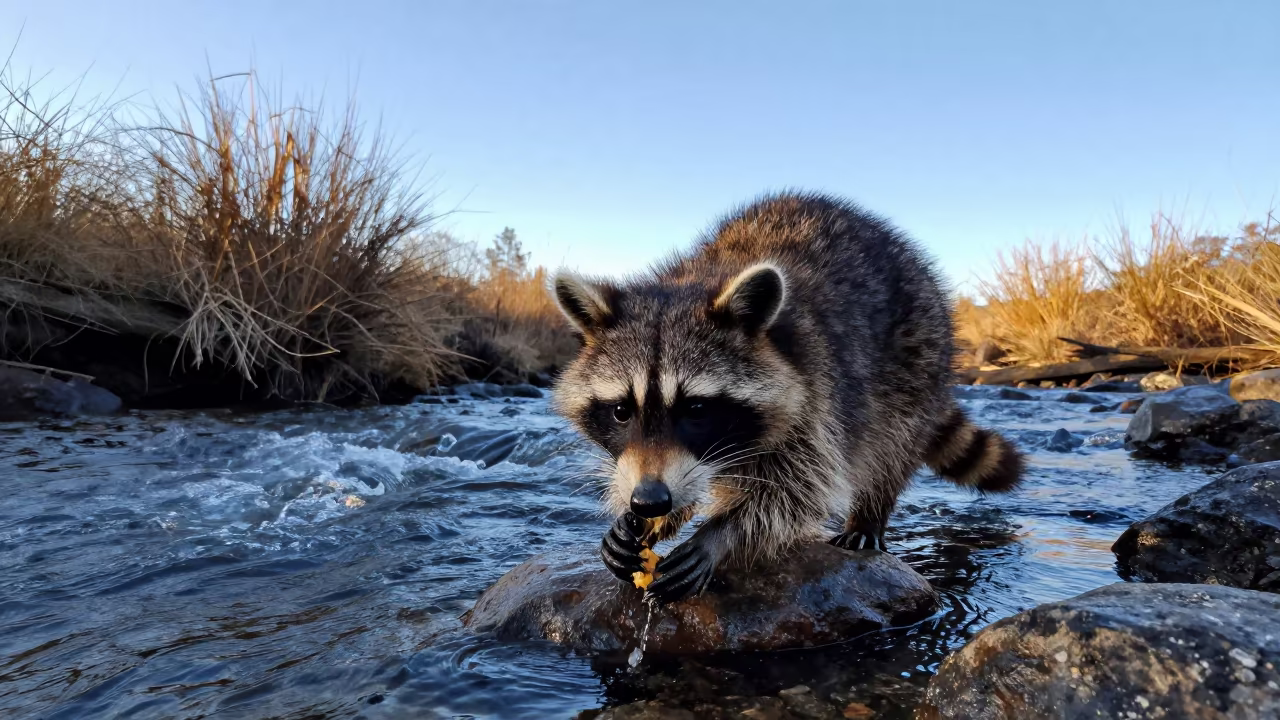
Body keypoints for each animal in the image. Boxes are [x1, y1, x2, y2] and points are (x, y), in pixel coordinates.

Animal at [549, 191, 1024, 606]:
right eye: (621, 411)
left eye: (696, 409)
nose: (649, 500)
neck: (695, 279)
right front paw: (646, 521)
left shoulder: (816, 394)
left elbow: (801, 489)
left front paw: (721, 533)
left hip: (916, 357)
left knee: (890, 442)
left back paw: (870, 513)